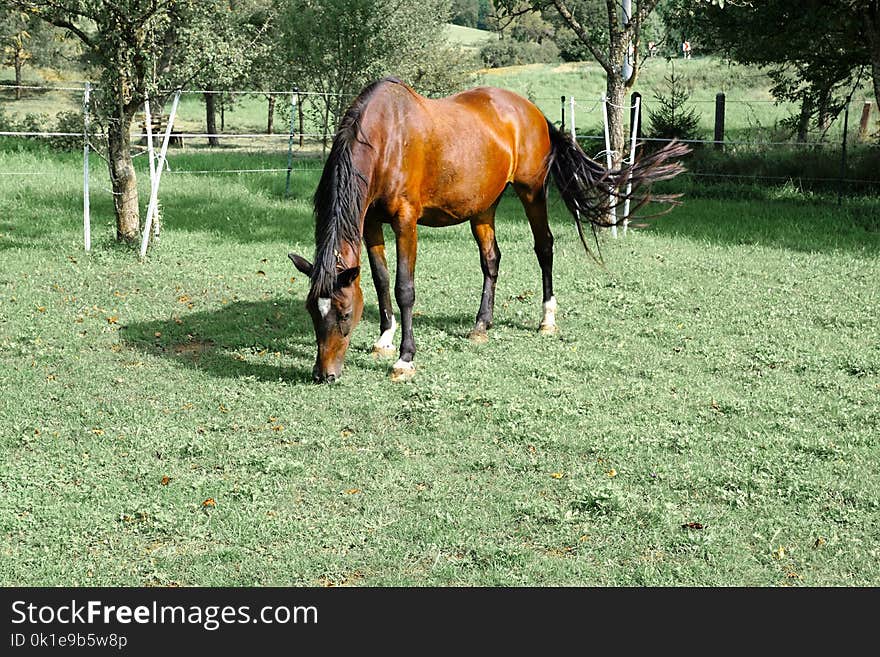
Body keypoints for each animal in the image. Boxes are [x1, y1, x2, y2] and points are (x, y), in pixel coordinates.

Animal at [288, 79, 688, 382]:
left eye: (343, 314)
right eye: (312, 311)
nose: (324, 374)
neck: (387, 138)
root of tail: (533, 111)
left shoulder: (405, 221)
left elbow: (404, 288)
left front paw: (405, 359)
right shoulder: (370, 221)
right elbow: (381, 280)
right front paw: (385, 339)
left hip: (532, 191)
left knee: (544, 247)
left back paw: (547, 320)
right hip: (483, 208)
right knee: (491, 260)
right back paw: (482, 324)